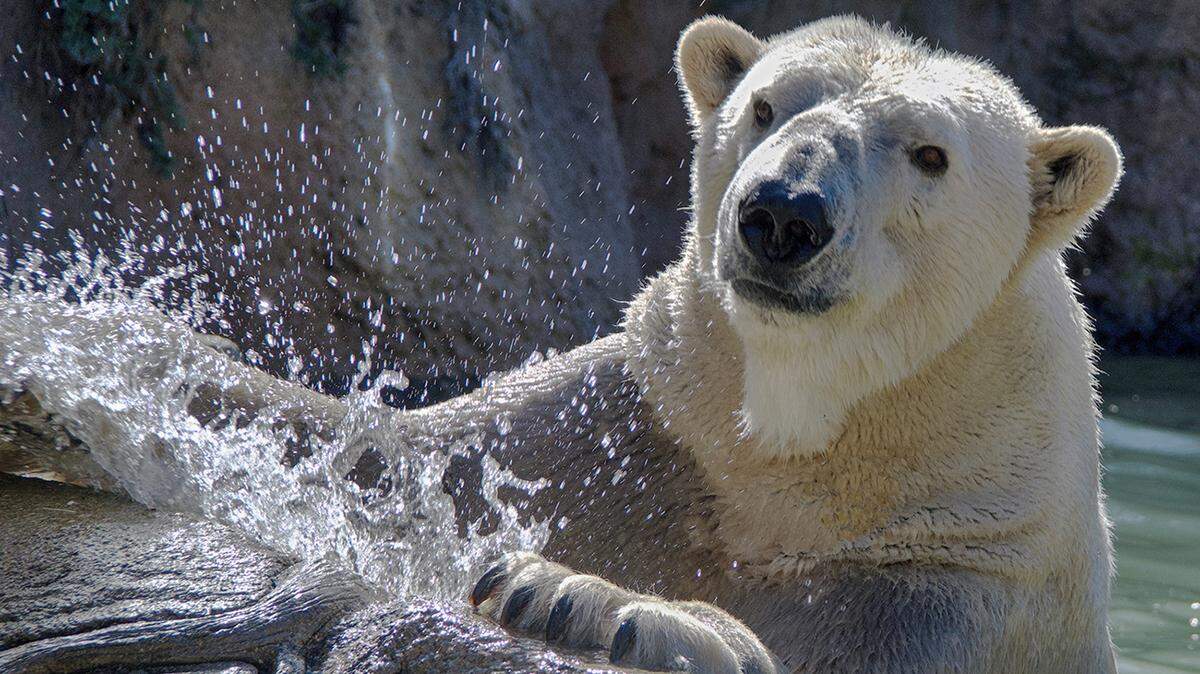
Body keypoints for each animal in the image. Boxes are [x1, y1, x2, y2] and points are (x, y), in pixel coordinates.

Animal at [448, 14, 1122, 673]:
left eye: (931, 155)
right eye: (764, 106)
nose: (783, 213)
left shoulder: (951, 591)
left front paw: (578, 596)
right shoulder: (630, 423)